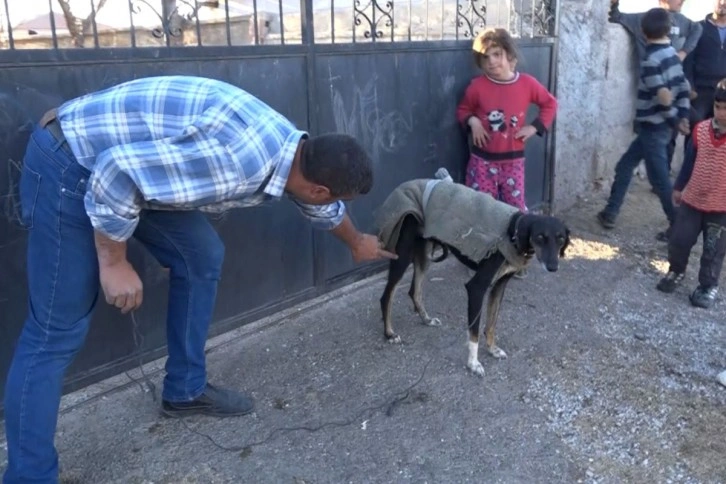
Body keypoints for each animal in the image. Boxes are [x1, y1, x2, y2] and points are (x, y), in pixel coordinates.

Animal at [378, 180, 572, 376]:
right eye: (540, 237)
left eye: (561, 239)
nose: (553, 267)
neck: (512, 231)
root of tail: (405, 185)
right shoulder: (476, 288)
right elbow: (474, 331)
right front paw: (473, 363)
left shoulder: (499, 286)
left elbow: (491, 323)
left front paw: (492, 349)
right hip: (402, 256)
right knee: (387, 295)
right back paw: (389, 334)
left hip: (424, 255)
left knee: (414, 291)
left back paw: (426, 319)